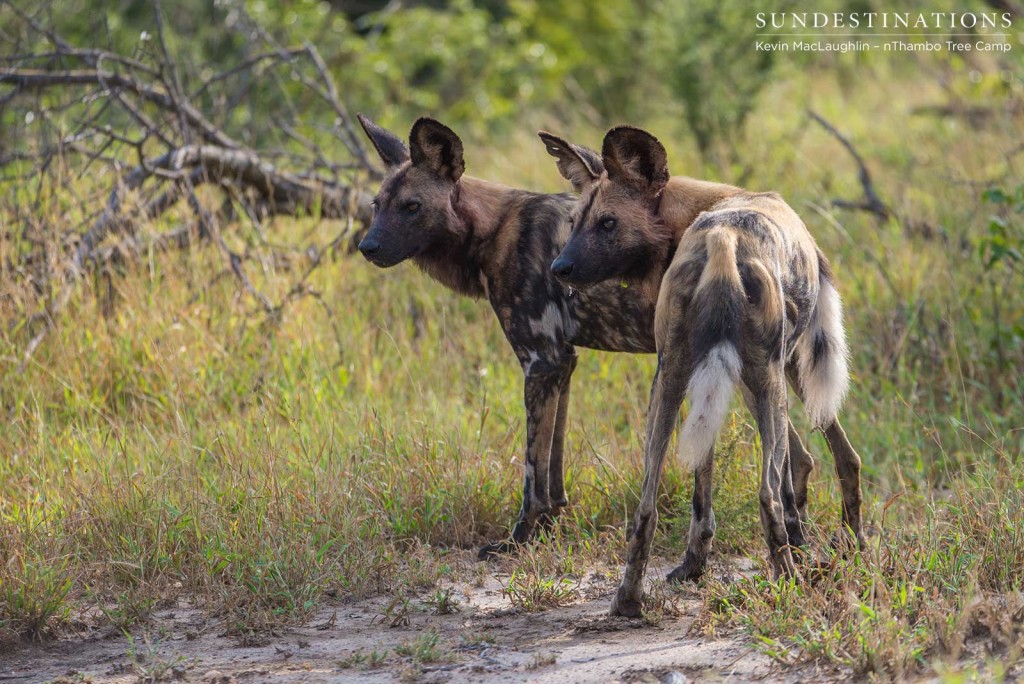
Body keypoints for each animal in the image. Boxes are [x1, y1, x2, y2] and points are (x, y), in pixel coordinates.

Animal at [352, 113, 831, 561]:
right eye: (377, 205)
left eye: (412, 207)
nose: (366, 247)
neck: (493, 230)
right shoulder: (562, 363)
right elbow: (554, 463)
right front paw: (550, 525)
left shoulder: (540, 361)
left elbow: (532, 470)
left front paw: (518, 538)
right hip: (772, 372)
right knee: (810, 455)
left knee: (791, 459)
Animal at [544, 125, 864, 618]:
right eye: (576, 220)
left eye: (607, 223)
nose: (559, 268)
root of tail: (723, 241)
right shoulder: (765, 377)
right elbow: (791, 473)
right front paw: (802, 547)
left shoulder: (705, 383)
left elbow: (703, 485)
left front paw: (695, 566)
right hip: (772, 381)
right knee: (777, 489)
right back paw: (804, 573)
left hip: (679, 381)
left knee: (647, 505)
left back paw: (628, 600)